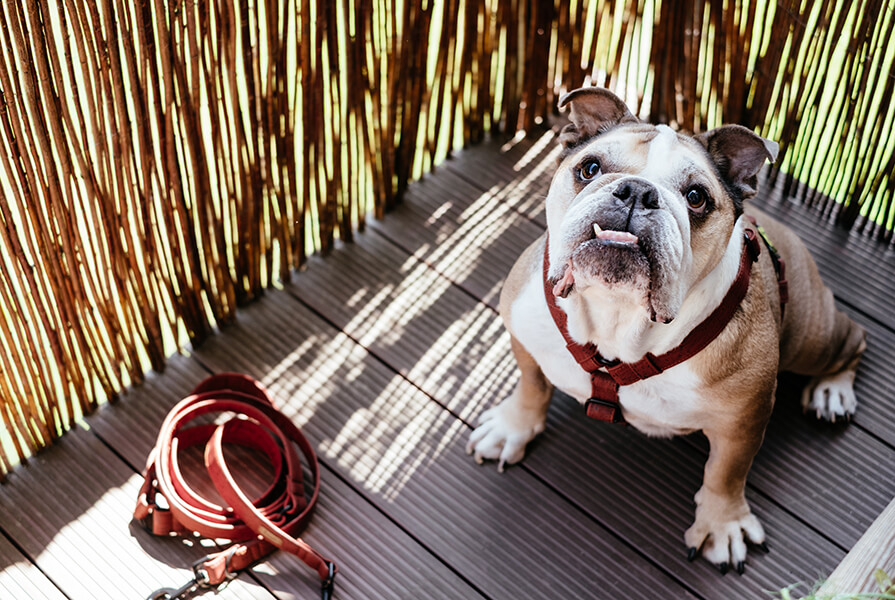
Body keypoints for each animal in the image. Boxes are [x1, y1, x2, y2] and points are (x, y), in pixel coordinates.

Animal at [468, 86, 868, 576]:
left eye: (696, 197)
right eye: (590, 169)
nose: (637, 191)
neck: (616, 314)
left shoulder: (742, 420)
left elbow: (725, 473)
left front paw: (721, 523)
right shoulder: (525, 335)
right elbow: (530, 386)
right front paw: (514, 428)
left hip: (813, 338)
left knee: (853, 339)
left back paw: (833, 392)